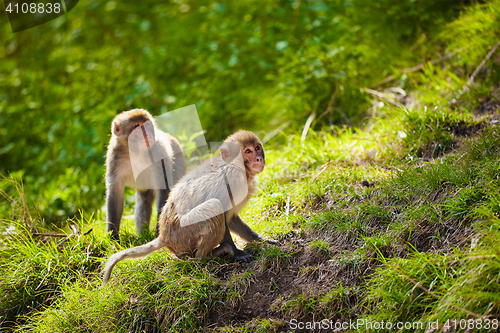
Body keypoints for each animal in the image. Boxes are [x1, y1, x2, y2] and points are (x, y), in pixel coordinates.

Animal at [102, 130, 278, 286]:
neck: (237, 167)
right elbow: (221, 211)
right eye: (247, 151)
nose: (258, 158)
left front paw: (260, 240)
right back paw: (210, 256)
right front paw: (237, 254)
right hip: (183, 233)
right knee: (213, 206)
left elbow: (231, 219)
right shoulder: (231, 180)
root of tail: (164, 236)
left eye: (257, 147)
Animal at [105, 108, 186, 239]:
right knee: (144, 200)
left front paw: (159, 233)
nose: (147, 134)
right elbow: (115, 193)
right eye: (137, 127)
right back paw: (142, 235)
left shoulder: (159, 152)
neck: (136, 152)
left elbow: (164, 190)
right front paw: (113, 236)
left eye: (147, 125)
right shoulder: (115, 156)